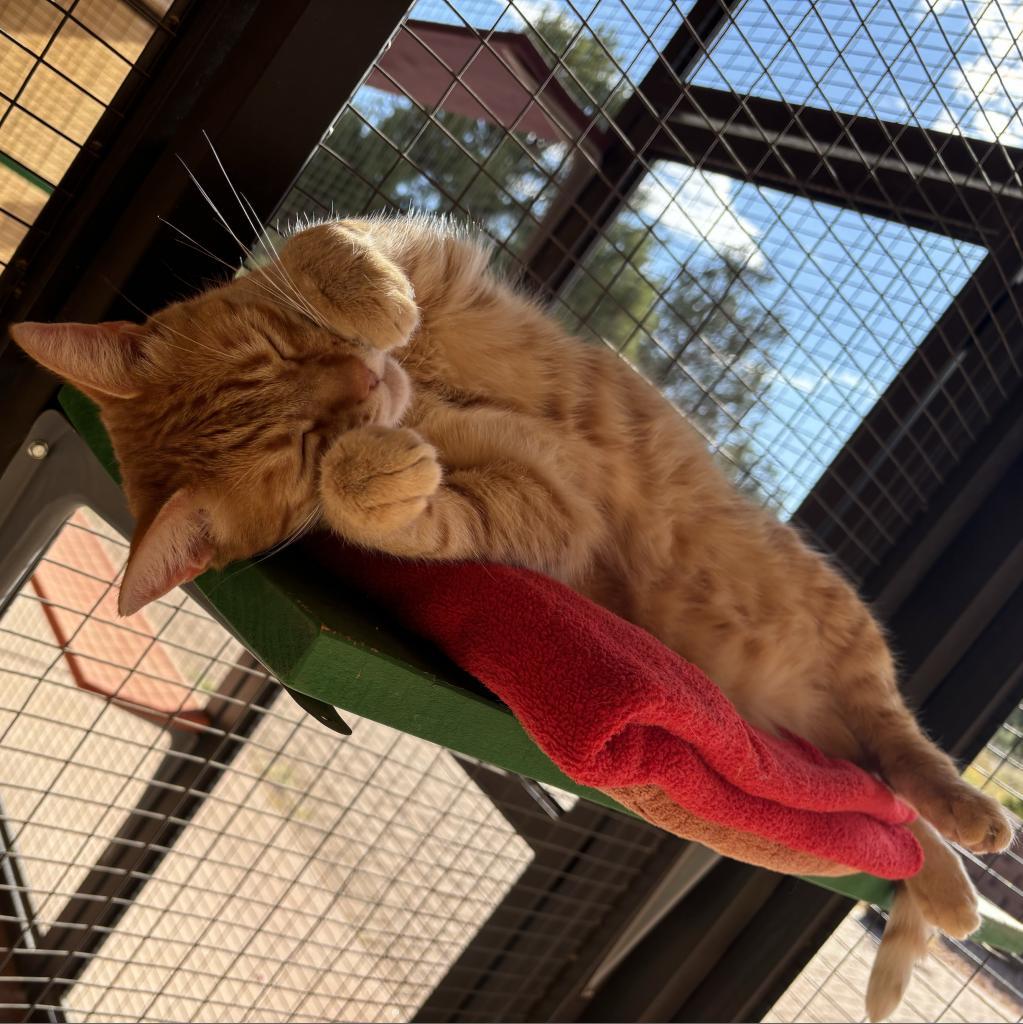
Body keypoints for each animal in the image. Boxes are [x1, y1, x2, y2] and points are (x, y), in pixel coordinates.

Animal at [8, 214, 1015, 1015]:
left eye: (287, 355)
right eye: (299, 447)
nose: (366, 382)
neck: (415, 387)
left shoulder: (421, 255)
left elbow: (324, 243)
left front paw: (380, 307)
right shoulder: (546, 514)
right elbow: (392, 506)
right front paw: (373, 474)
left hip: (847, 634)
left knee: (906, 759)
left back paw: (973, 819)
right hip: (802, 730)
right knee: (886, 812)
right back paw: (954, 888)